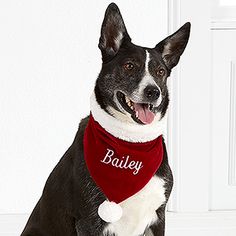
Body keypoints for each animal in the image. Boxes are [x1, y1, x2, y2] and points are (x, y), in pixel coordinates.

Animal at [20, 2, 190, 236]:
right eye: (129, 66)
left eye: (160, 72)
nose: (153, 91)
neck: (131, 142)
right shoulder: (89, 220)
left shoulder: (158, 217)